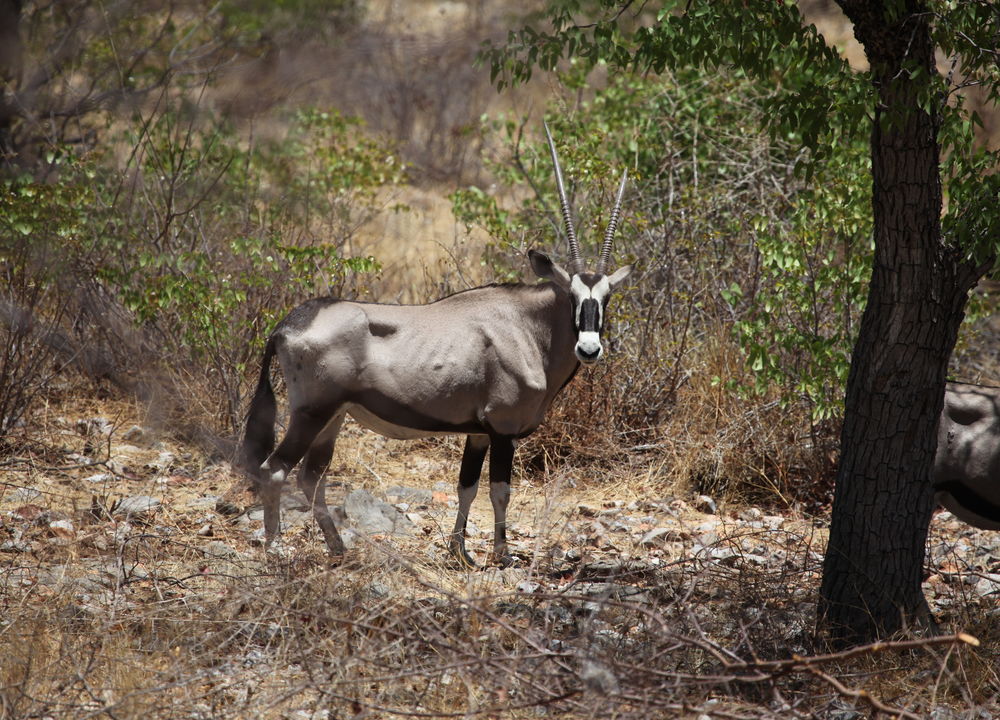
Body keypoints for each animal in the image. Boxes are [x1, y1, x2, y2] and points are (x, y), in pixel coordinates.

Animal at [238, 124, 633, 567]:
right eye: (571, 296)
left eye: (606, 297)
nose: (589, 349)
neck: (528, 327)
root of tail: (286, 325)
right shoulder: (502, 429)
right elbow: (500, 491)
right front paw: (501, 555)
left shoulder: (478, 433)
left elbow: (467, 487)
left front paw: (460, 551)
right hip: (311, 412)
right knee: (275, 470)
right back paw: (275, 548)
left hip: (333, 416)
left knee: (311, 476)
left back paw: (337, 547)